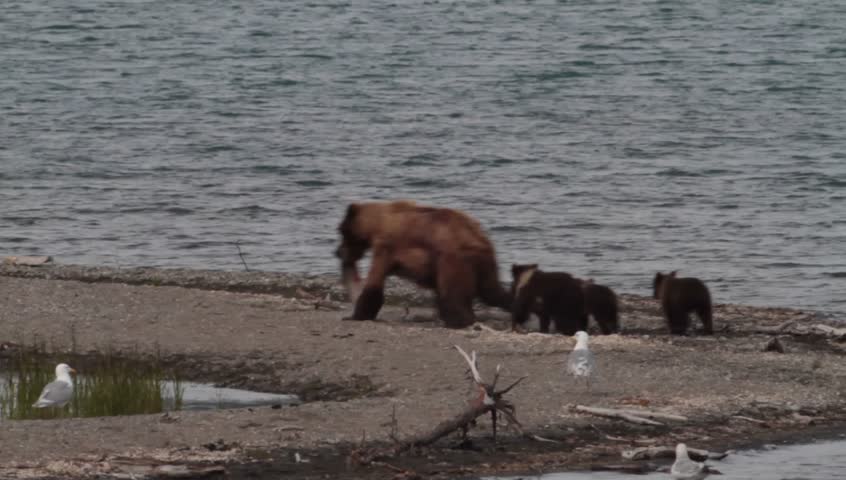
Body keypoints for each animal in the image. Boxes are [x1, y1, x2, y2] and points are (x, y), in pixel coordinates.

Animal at [334, 200, 512, 328]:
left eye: (342, 231)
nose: (337, 252)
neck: (377, 225)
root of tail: (479, 239)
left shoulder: (386, 247)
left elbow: (374, 285)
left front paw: (354, 316)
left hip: (452, 259)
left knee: (453, 295)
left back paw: (459, 322)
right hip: (484, 263)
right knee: (492, 292)